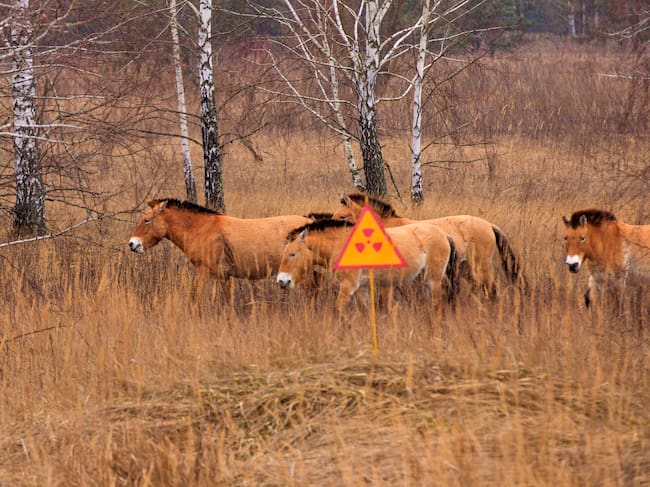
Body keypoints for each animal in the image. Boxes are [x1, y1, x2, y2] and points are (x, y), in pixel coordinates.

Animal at [276, 219, 459, 313]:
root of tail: (444, 234)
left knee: (436, 303)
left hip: (433, 279)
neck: (342, 244)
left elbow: (338, 310)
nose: (281, 281)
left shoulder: (348, 286)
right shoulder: (361, 289)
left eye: (292, 254)